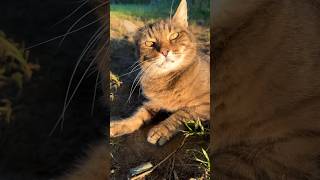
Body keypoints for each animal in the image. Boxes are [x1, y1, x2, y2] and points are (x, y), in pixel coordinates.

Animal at [109, 0, 211, 146]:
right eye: (149, 43)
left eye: (174, 36)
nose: (164, 52)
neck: (168, 80)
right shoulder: (153, 103)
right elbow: (139, 114)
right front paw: (120, 125)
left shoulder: (204, 104)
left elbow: (181, 113)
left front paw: (160, 130)